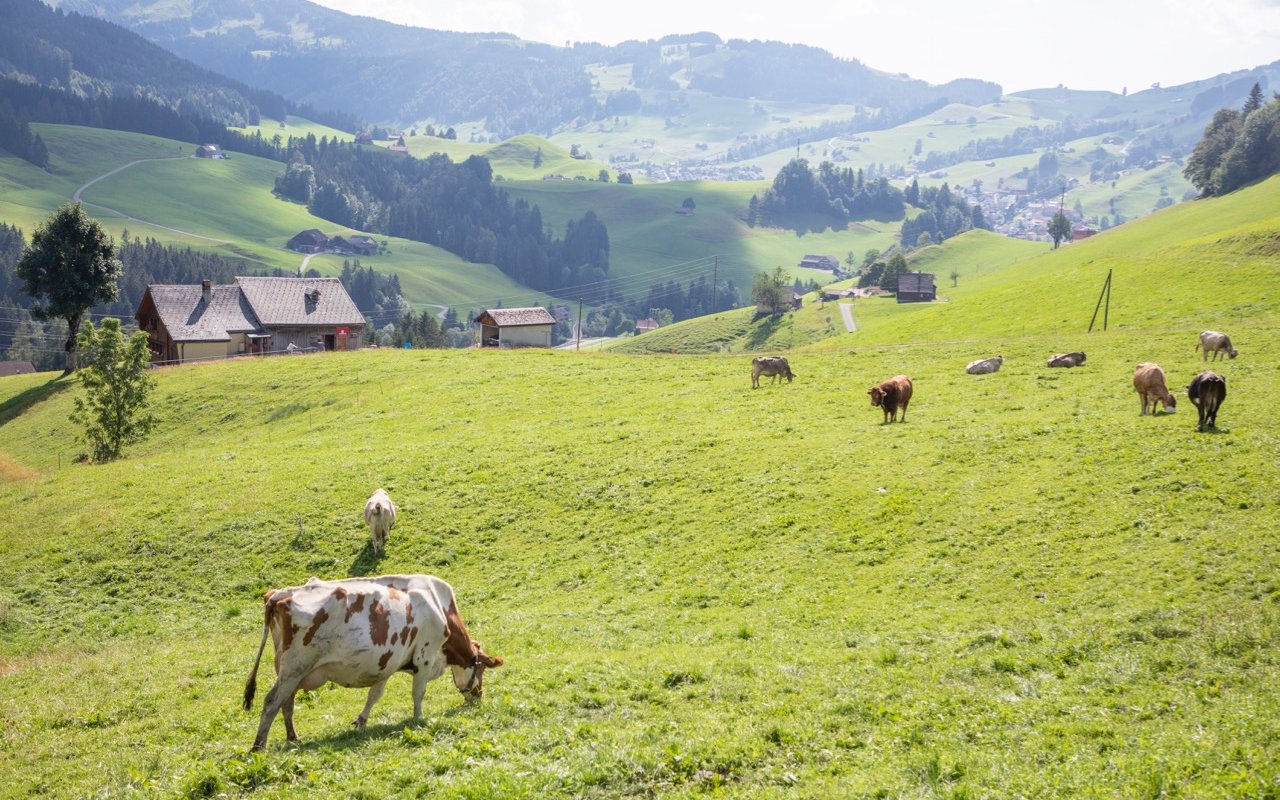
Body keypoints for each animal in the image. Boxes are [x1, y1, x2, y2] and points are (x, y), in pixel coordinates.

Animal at [241, 573, 501, 747]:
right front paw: (418, 718)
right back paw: (258, 746)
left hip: (290, 672)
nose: (478, 698)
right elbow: (418, 693)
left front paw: (361, 720)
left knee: (287, 702)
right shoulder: (424, 657)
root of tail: (279, 594)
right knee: (272, 701)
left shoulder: (387, 662)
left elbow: (374, 695)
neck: (440, 607)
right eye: (481, 671)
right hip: (295, 667)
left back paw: (293, 738)